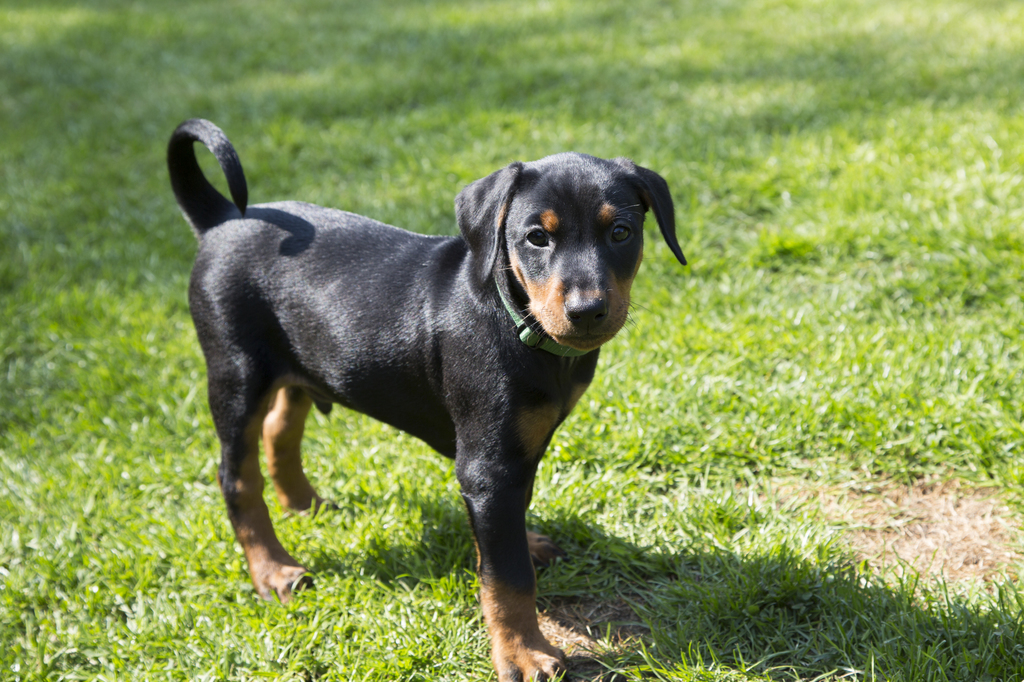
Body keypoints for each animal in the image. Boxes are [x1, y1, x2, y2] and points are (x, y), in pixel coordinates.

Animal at [167, 118, 686, 681]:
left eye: (621, 233)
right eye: (537, 238)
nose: (588, 310)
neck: (515, 319)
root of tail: (223, 220)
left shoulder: (515, 454)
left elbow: (506, 536)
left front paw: (525, 545)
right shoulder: (488, 466)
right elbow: (507, 577)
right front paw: (524, 653)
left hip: (299, 362)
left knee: (281, 427)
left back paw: (304, 504)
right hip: (236, 372)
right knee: (238, 478)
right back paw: (273, 570)